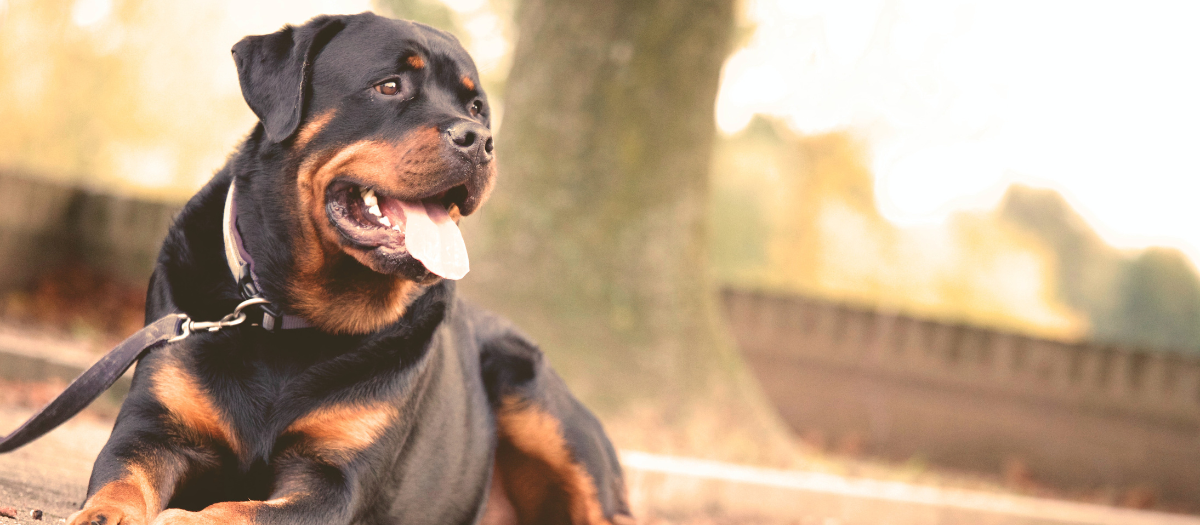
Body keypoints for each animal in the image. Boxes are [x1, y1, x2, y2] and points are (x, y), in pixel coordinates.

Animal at [68, 12, 628, 525]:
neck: (289, 317)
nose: (480, 139)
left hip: (537, 402)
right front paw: (105, 515)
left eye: (476, 108)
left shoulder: (334, 479)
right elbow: (122, 479)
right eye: (389, 85)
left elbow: (241, 511)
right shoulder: (154, 427)